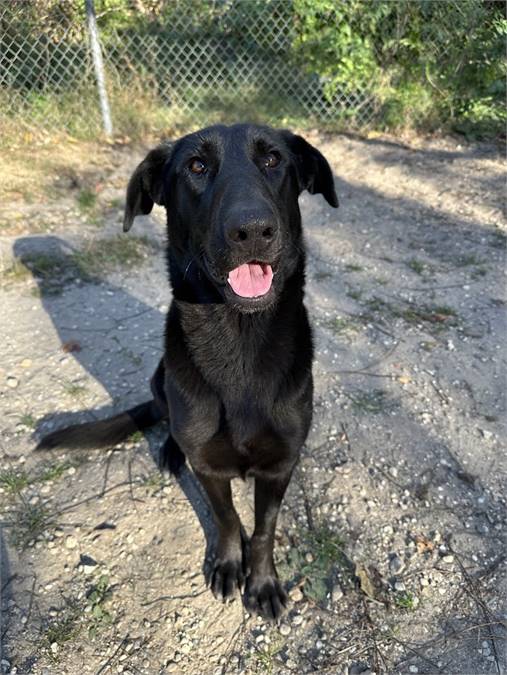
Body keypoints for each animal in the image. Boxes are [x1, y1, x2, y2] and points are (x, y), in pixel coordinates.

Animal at [37, 124, 340, 620]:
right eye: (197, 166)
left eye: (273, 160)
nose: (252, 230)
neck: (239, 340)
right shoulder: (210, 467)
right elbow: (228, 517)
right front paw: (229, 563)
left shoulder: (279, 467)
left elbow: (264, 528)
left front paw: (262, 582)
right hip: (160, 377)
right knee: (166, 418)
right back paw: (169, 450)